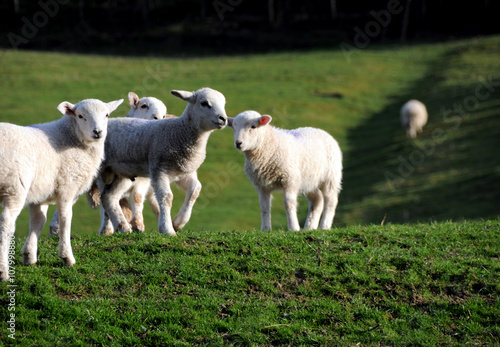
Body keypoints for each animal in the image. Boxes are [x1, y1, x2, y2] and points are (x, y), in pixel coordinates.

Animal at [0, 96, 123, 282]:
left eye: (107, 114)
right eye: (80, 116)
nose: (98, 132)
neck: (70, 137)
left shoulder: (40, 193)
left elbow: (38, 221)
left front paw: (29, 256)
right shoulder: (67, 186)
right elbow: (65, 220)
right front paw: (67, 257)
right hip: (14, 187)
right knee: (6, 225)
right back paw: (4, 272)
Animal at [96, 88, 229, 238]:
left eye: (223, 103)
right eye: (204, 103)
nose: (223, 119)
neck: (179, 132)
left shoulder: (184, 172)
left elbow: (195, 190)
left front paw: (178, 222)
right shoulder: (159, 169)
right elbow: (166, 197)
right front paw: (167, 229)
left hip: (122, 173)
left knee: (108, 197)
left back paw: (123, 226)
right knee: (104, 196)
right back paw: (110, 228)